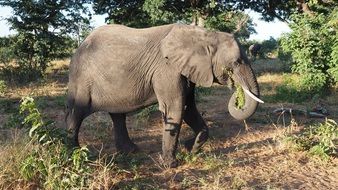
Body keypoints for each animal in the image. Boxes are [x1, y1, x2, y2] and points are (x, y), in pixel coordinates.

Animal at [65, 23, 264, 168]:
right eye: (236, 63)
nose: (237, 93)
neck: (204, 35)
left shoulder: (185, 70)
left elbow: (189, 108)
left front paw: (190, 148)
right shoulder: (166, 69)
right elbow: (175, 107)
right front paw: (171, 164)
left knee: (117, 115)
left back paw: (131, 151)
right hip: (82, 79)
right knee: (77, 112)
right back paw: (74, 155)